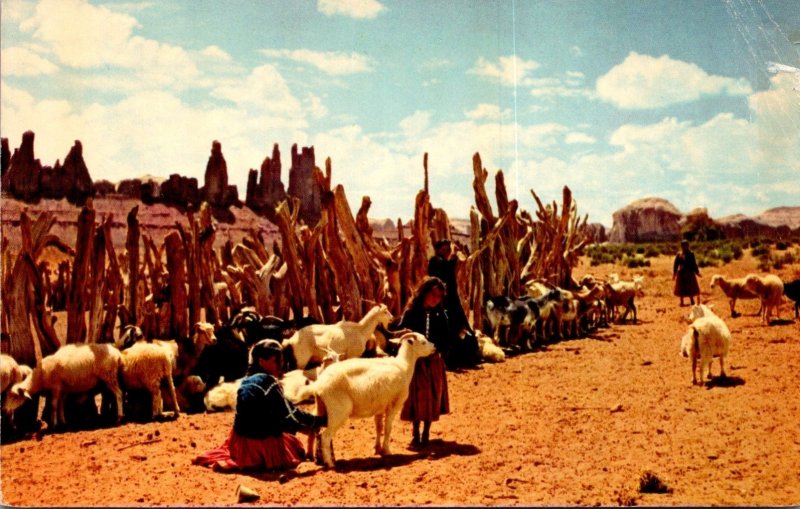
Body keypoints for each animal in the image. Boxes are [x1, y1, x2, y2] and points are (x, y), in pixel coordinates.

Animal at [298, 330, 438, 468]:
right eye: (423, 342)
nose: (435, 348)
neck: (404, 365)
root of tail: (319, 384)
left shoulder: (380, 407)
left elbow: (379, 428)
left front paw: (377, 449)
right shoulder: (394, 405)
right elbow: (388, 428)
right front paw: (387, 451)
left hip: (321, 407)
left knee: (314, 430)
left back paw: (313, 457)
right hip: (338, 411)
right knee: (325, 436)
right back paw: (330, 463)